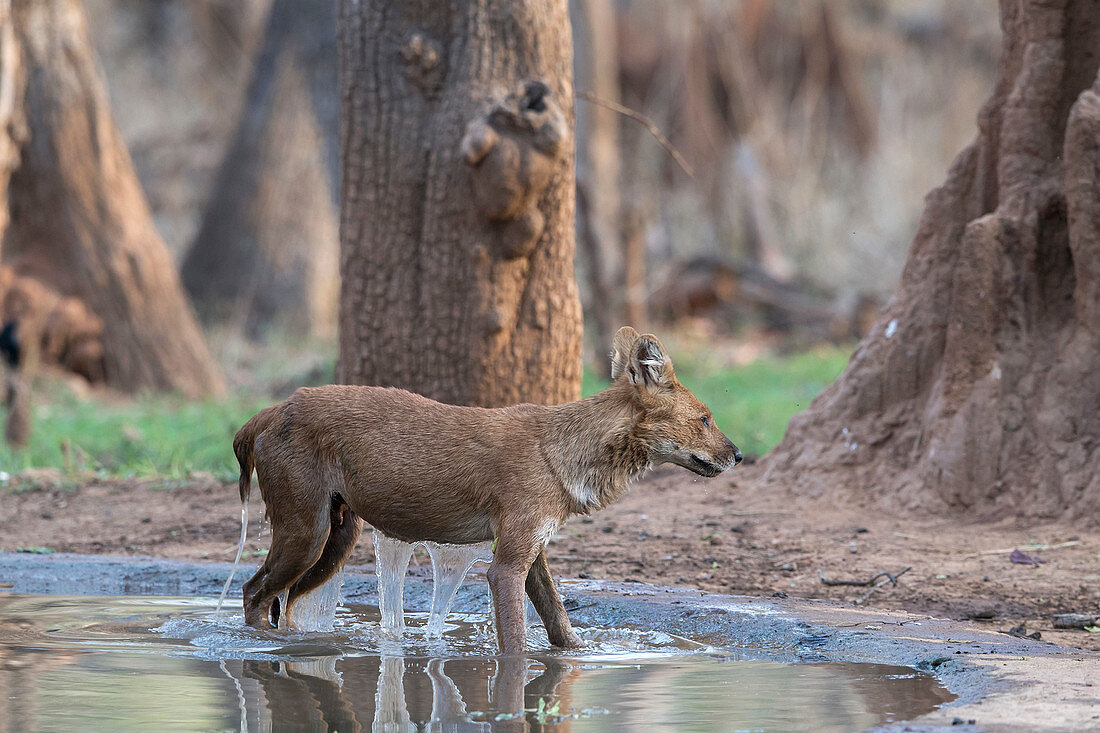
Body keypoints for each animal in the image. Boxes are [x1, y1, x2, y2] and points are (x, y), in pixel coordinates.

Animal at [235, 325, 743, 651]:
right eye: (705, 419)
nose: (738, 455)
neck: (561, 451)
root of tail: (271, 408)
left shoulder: (533, 551)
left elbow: (559, 622)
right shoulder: (505, 566)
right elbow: (516, 641)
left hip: (337, 538)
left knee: (284, 602)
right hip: (307, 533)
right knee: (254, 592)